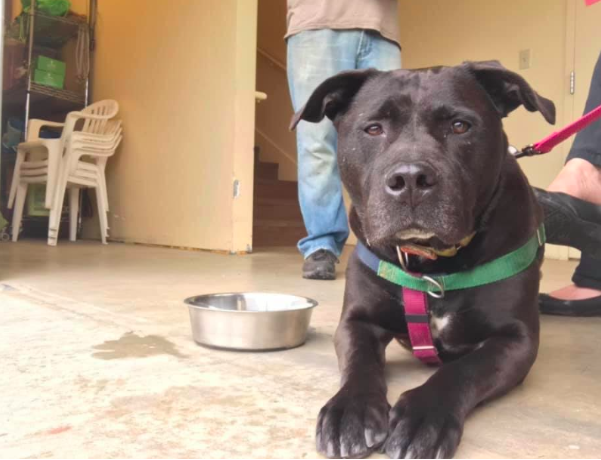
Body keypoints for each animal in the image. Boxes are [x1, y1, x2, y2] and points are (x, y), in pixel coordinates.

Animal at [290, 62, 564, 460]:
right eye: (374, 128)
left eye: (460, 126)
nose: (410, 179)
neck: (432, 267)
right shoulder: (356, 322)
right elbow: (359, 362)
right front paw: (350, 410)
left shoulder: (516, 339)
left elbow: (462, 370)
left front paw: (423, 416)